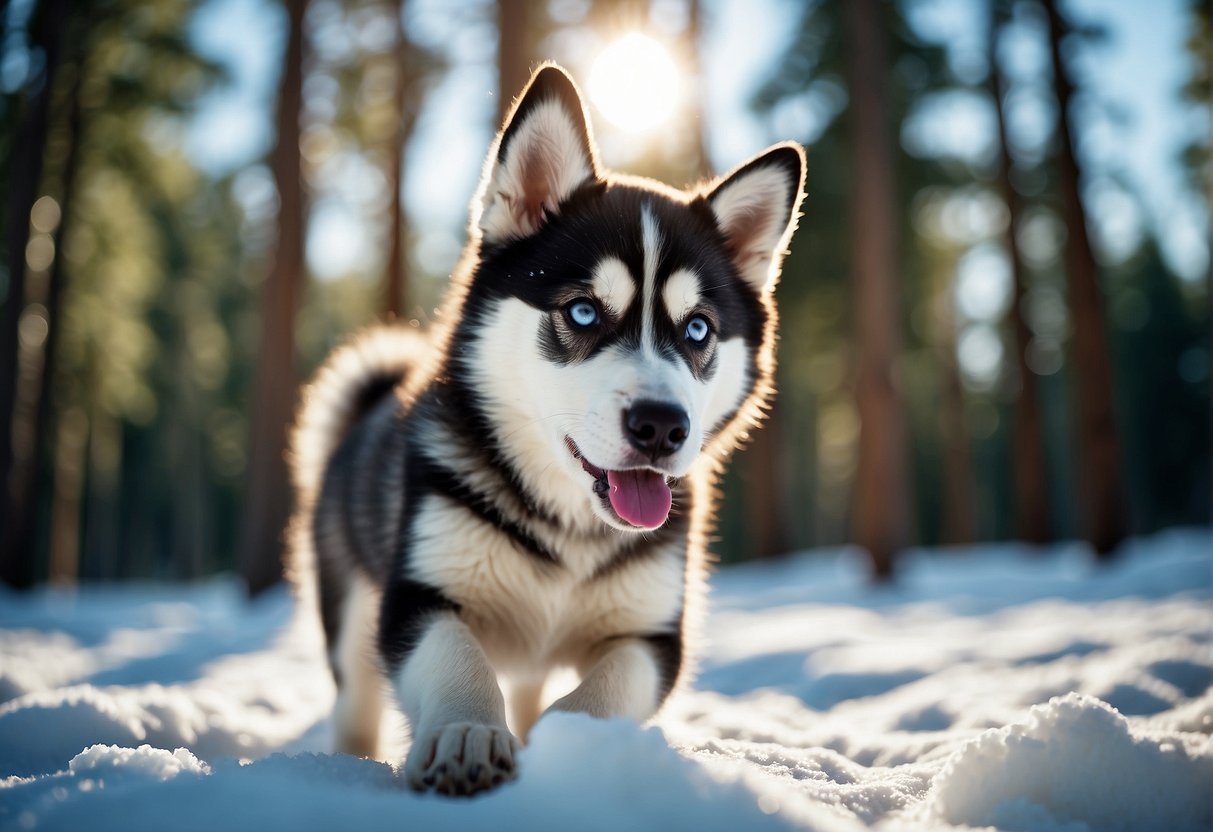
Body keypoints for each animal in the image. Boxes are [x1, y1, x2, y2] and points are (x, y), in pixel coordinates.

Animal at [288, 63, 805, 795]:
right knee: (355, 696)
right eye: (583, 312)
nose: (661, 426)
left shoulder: (652, 634)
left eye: (698, 329)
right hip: (349, 602)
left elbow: (604, 691)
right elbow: (455, 656)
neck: (570, 529)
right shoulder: (417, 595)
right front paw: (467, 732)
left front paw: (564, 747)